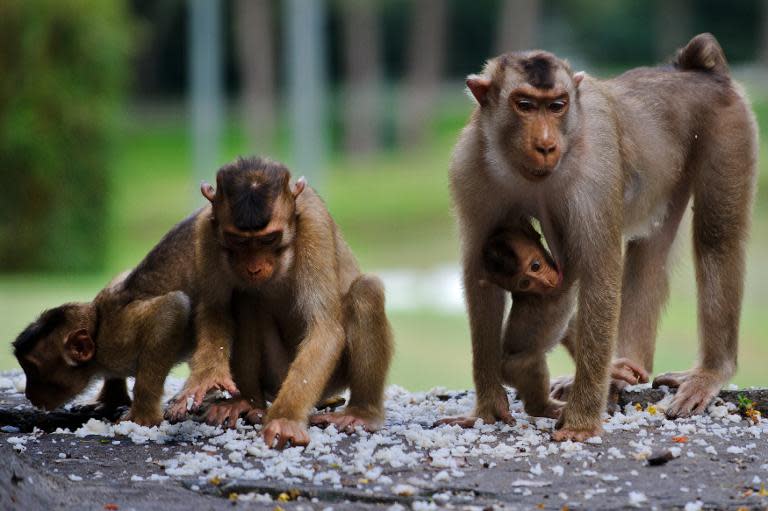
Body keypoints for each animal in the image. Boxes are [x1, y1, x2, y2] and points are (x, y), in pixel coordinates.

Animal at [444, 32, 756, 442]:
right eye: (524, 105)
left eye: (556, 106)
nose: (546, 145)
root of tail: (696, 71)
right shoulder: (469, 169)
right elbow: (481, 280)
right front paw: (489, 409)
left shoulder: (595, 171)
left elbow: (596, 273)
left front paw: (581, 423)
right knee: (651, 250)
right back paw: (626, 365)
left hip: (729, 128)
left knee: (715, 240)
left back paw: (709, 372)